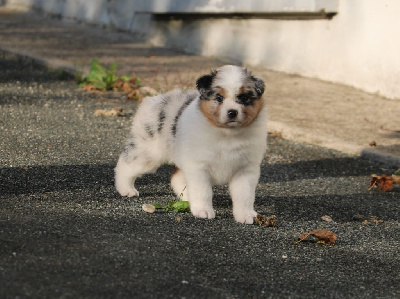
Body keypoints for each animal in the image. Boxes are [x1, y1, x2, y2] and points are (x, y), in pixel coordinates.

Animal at [114, 65, 268, 225]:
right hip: (147, 152)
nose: (232, 112)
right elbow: (203, 191)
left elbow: (244, 195)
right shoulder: (199, 167)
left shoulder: (245, 169)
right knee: (126, 165)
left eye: (244, 98)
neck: (227, 135)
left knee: (176, 178)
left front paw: (245, 215)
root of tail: (154, 100)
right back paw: (126, 189)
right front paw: (203, 211)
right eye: (219, 98)